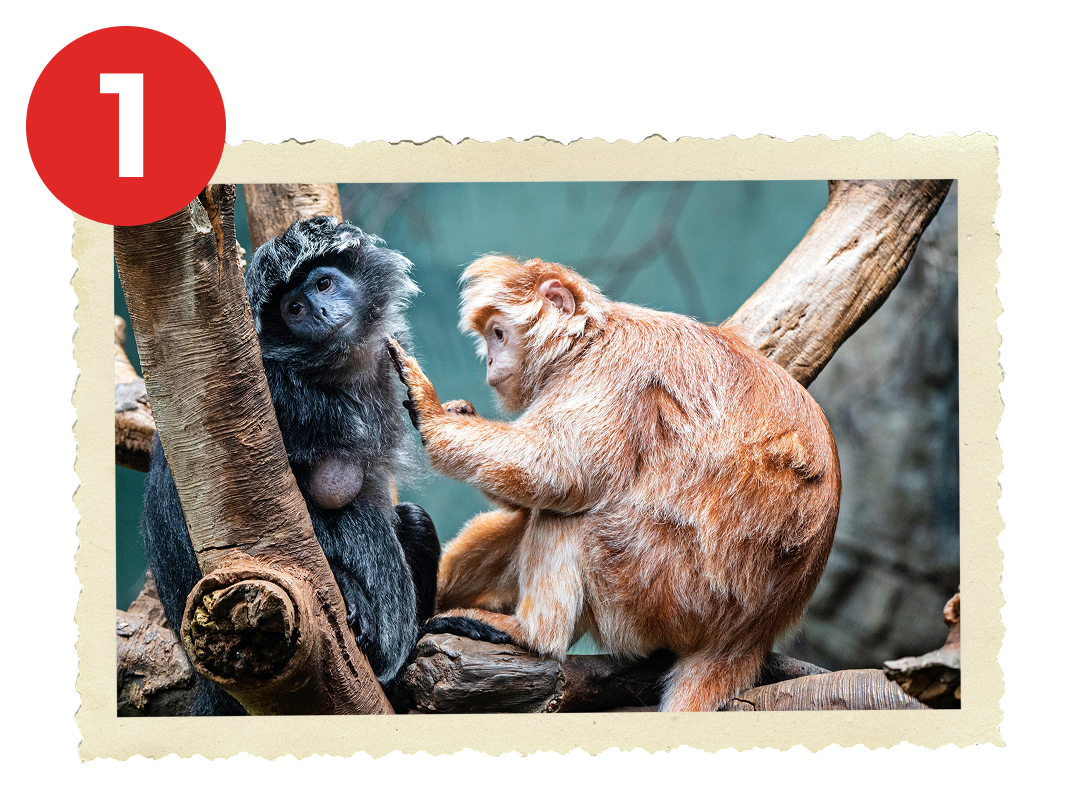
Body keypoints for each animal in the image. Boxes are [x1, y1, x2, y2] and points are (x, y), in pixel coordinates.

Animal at [141, 216, 440, 715]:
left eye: (324, 284)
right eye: (294, 308)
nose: (318, 310)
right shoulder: (277, 398)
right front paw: (348, 590)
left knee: (414, 520)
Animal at [387, 255, 841, 712]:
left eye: (499, 334)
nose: (490, 364)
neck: (590, 340)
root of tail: (751, 631)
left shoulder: (612, 371)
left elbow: (561, 474)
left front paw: (431, 414)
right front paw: (459, 414)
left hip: (662, 590)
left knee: (570, 515)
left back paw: (531, 633)